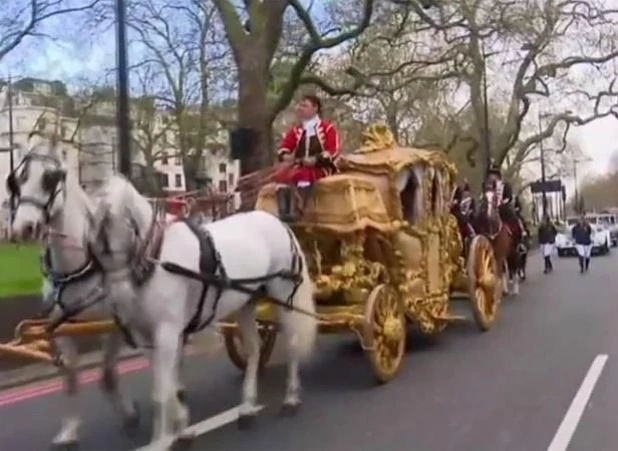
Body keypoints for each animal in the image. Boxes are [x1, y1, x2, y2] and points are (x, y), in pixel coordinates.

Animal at [7, 132, 138, 450]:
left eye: (51, 177)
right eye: (17, 179)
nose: (24, 227)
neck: (78, 266)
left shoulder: (111, 327)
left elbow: (107, 375)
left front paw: (130, 415)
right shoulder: (64, 328)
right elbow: (70, 378)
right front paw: (69, 431)